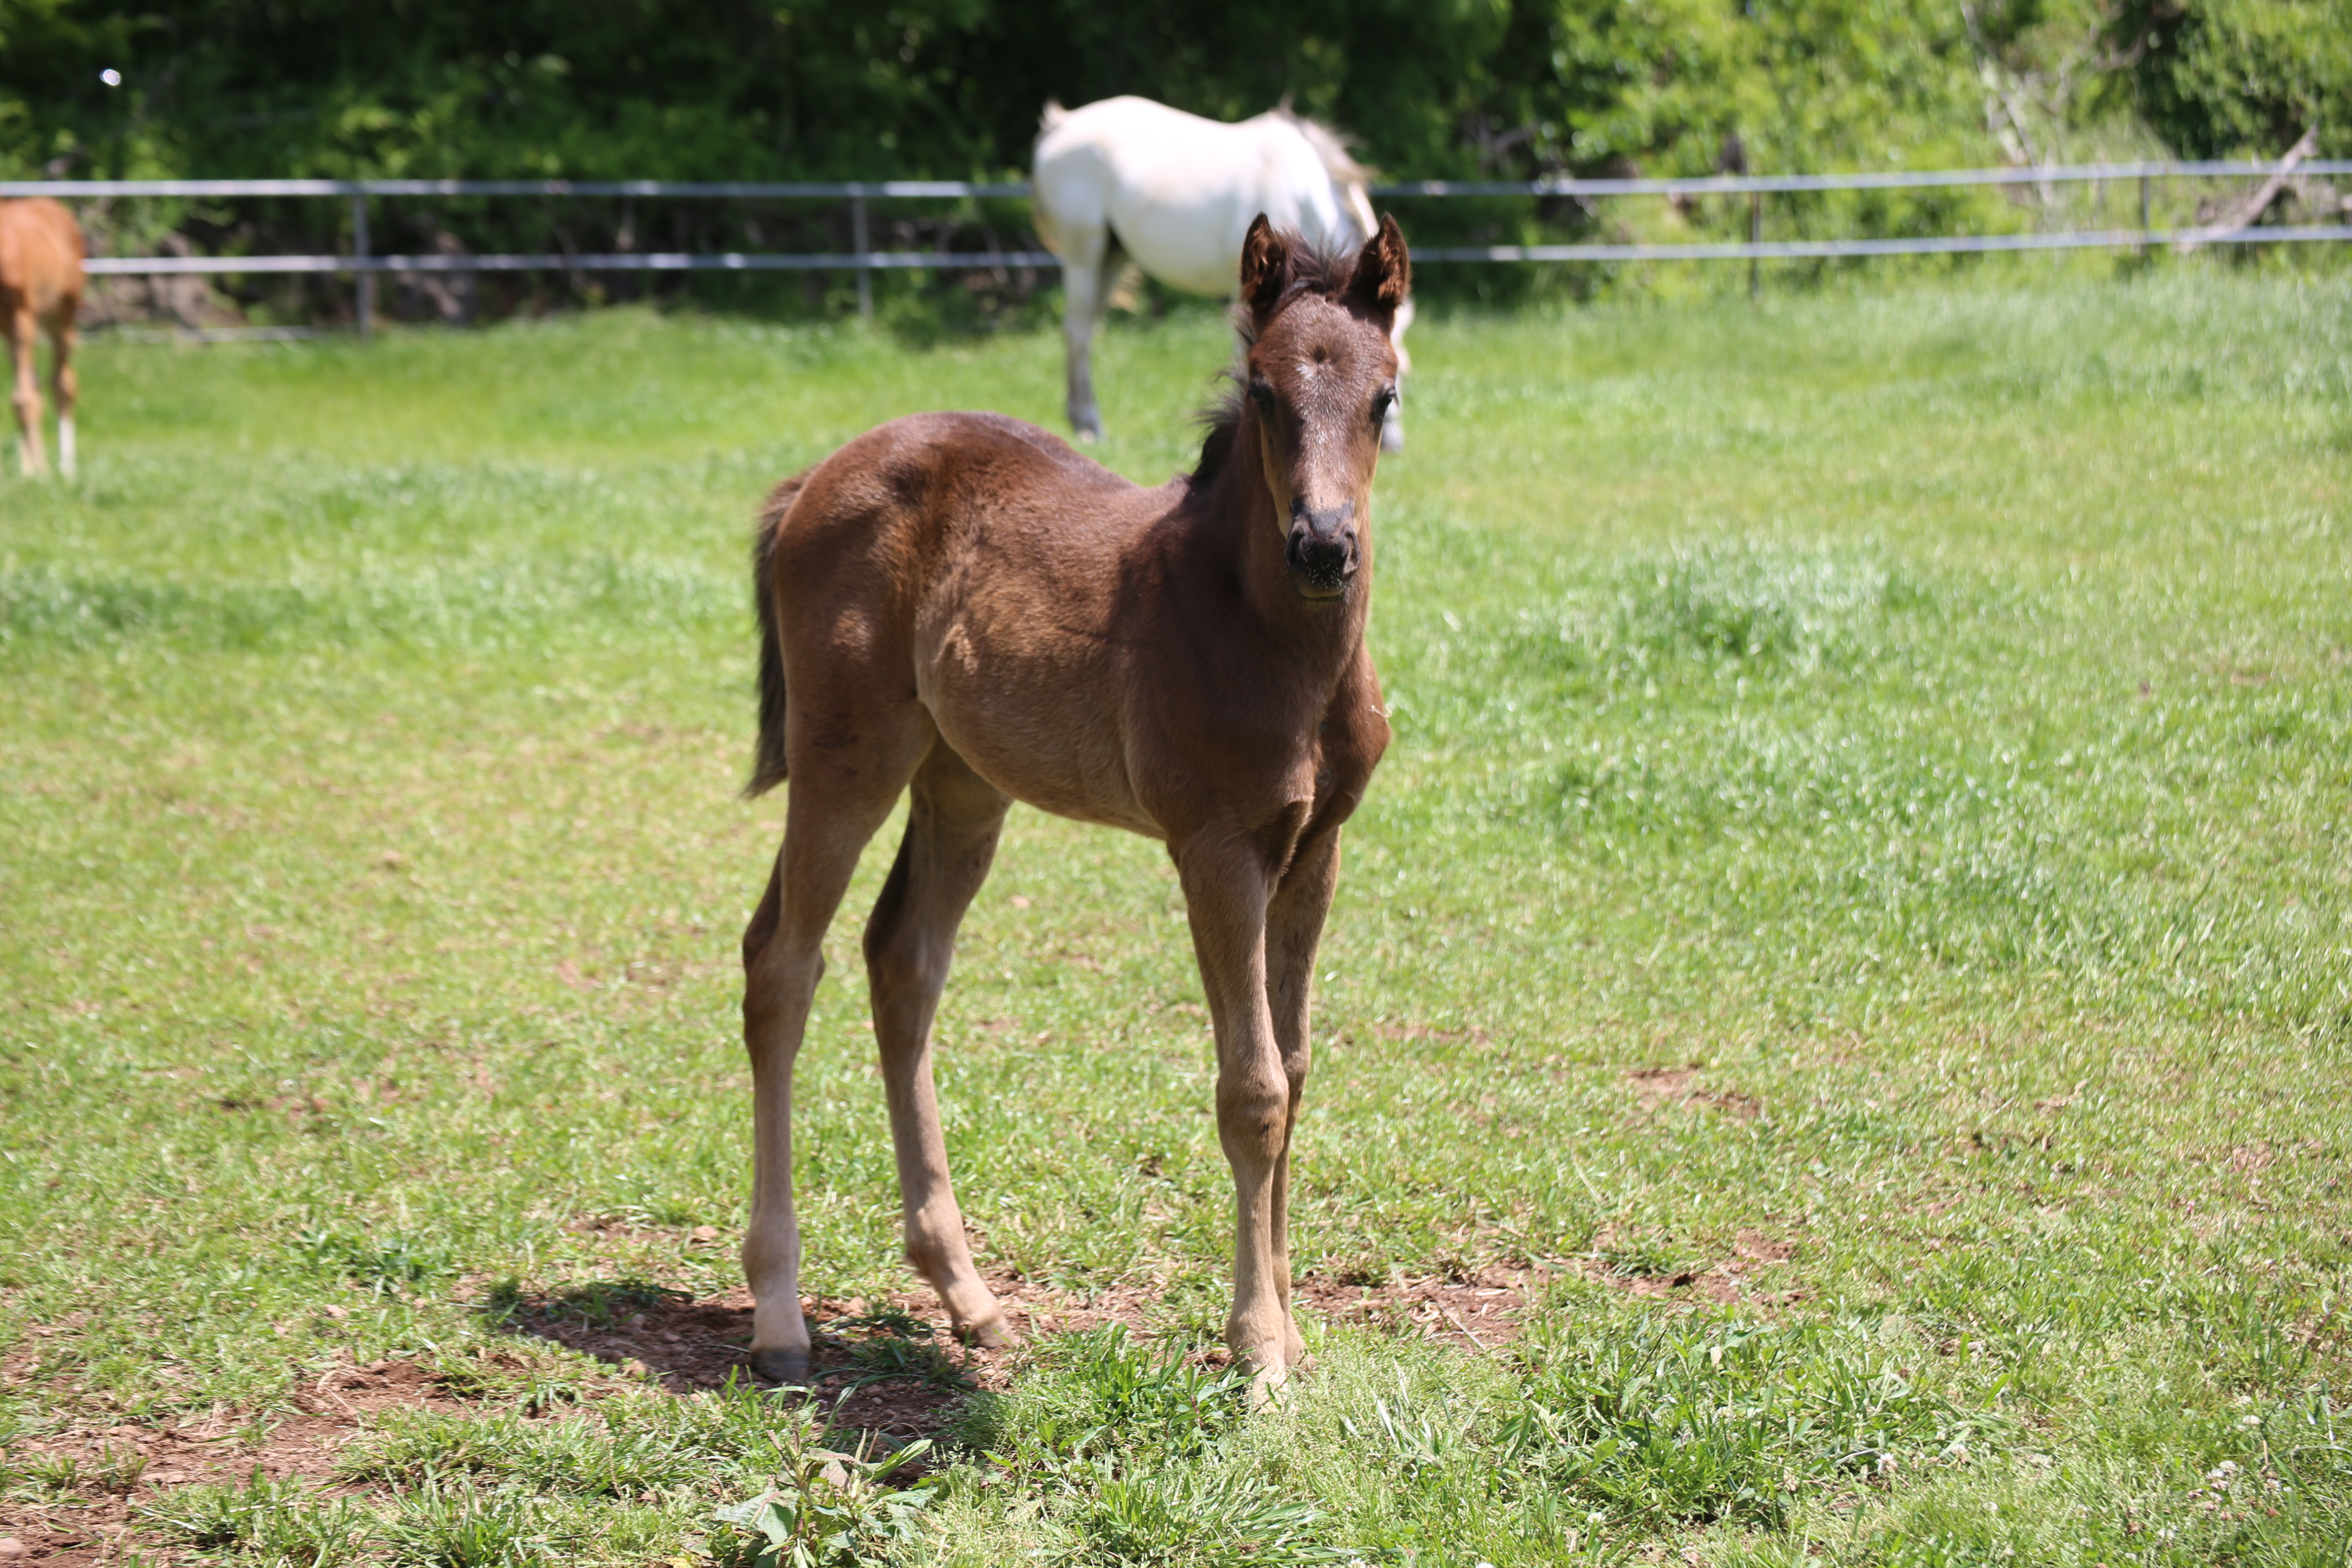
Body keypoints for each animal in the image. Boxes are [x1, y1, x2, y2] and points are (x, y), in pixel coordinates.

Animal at [0, 202, 84, 484]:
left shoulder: (20, 315)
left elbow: (25, 400)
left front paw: (39, 475)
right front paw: (32, 470)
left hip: (59, 317)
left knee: (62, 384)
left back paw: (65, 468)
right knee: (35, 385)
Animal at [738, 212, 1392, 1401]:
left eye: (1383, 397)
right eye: (1264, 391)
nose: (1324, 546)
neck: (1264, 636)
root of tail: (817, 475)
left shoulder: (1316, 847)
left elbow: (1297, 1068)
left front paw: (1291, 1328)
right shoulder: (1215, 849)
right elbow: (1252, 1090)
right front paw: (1257, 1351)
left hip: (962, 782)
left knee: (902, 962)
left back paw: (971, 1301)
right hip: (846, 755)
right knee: (781, 963)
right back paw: (778, 1319)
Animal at [1035, 97, 1411, 451]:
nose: (1394, 444)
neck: (1298, 190)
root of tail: (1062, 125)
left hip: (1113, 257)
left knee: (1083, 330)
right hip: (1084, 255)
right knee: (1078, 331)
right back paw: (1090, 426)